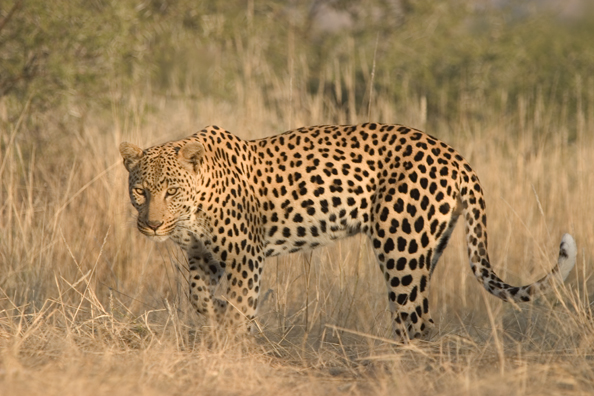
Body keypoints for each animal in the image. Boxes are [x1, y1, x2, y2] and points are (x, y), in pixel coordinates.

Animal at [119, 124, 572, 340]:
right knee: (419, 316)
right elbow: (199, 297)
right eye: (140, 191)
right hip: (427, 251)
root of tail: (455, 155)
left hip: (400, 250)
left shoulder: (246, 257)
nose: (151, 224)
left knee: (417, 321)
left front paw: (233, 343)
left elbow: (239, 308)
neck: (194, 207)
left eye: (171, 191)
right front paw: (215, 314)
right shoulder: (203, 257)